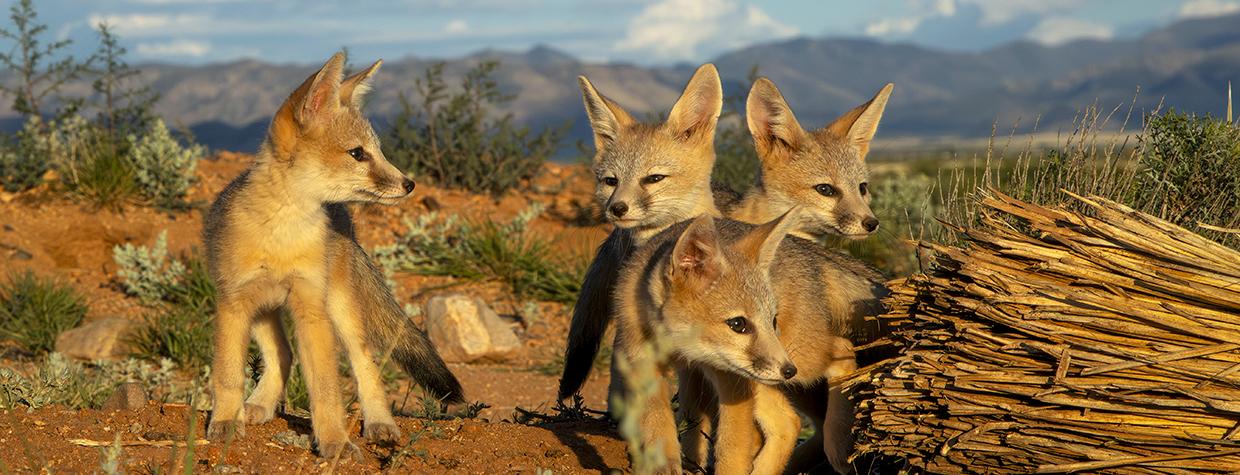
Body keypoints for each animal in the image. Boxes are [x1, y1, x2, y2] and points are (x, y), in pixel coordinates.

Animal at [202, 52, 463, 458]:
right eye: (357, 154)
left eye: (377, 151)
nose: (409, 184)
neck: (282, 235)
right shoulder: (233, 302)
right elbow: (228, 374)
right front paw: (227, 422)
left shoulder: (312, 307)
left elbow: (325, 388)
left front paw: (333, 440)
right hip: (264, 310)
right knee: (283, 354)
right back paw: (259, 405)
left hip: (339, 309)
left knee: (364, 362)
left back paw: (380, 423)